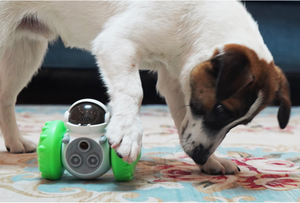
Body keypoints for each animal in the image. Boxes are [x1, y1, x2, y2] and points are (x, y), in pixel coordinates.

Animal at [0, 0, 290, 174]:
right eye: (220, 110)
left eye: (241, 123)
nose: (199, 156)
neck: (195, 17)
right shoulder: (115, 42)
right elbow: (133, 91)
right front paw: (129, 133)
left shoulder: (176, 79)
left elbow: (182, 121)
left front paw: (211, 162)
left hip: (23, 51)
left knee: (5, 98)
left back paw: (14, 141)